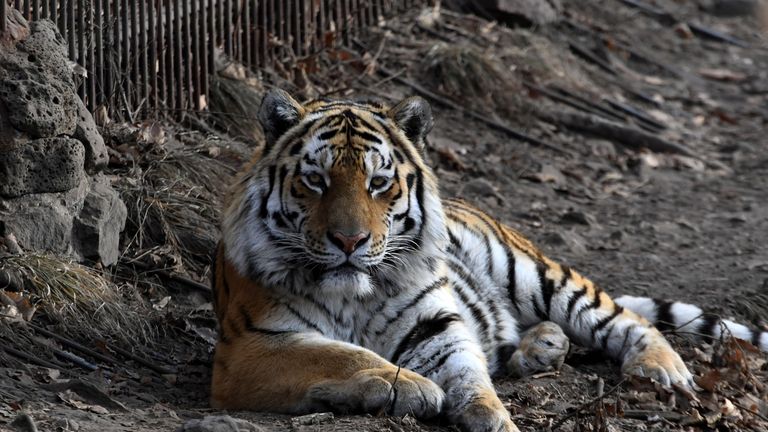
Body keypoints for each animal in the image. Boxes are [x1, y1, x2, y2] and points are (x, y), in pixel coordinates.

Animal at [210, 89, 768, 432]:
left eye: (379, 183)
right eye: (316, 180)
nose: (350, 240)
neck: (355, 293)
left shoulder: (435, 324)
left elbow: (467, 373)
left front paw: (490, 415)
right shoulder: (250, 347)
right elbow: (340, 354)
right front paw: (411, 387)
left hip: (533, 273)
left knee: (625, 318)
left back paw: (660, 369)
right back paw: (539, 348)